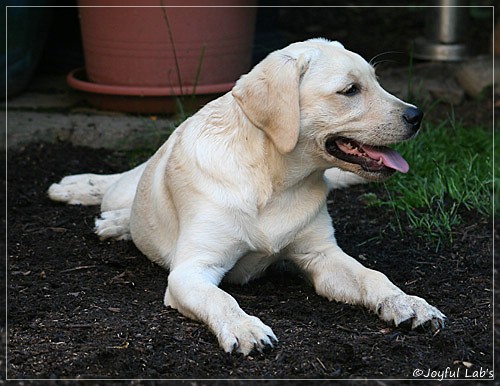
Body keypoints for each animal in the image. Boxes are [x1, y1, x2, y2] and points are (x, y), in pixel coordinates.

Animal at [47, 37, 446, 354]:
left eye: (377, 82)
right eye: (350, 90)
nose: (418, 115)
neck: (274, 181)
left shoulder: (322, 255)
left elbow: (371, 276)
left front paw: (406, 301)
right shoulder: (191, 271)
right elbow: (221, 298)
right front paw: (244, 327)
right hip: (126, 188)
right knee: (118, 189)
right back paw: (83, 193)